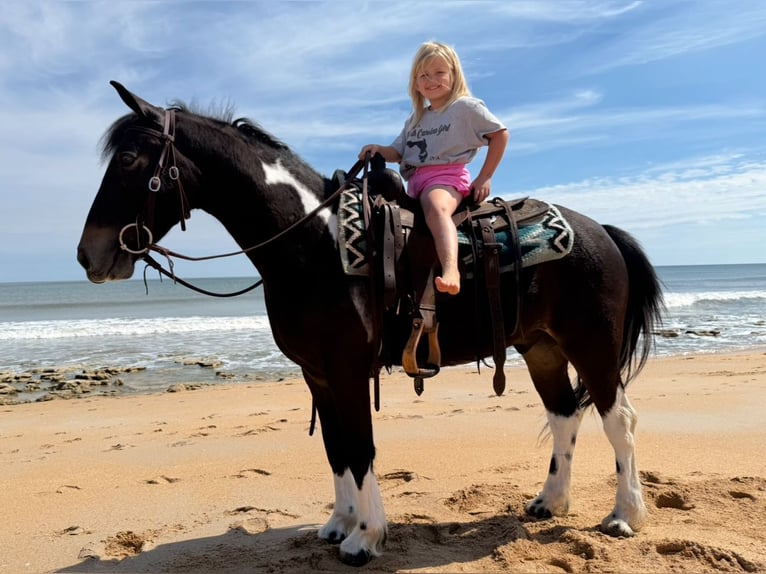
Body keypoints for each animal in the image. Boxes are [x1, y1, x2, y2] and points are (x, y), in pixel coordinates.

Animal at [79, 81, 664, 568]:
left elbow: (360, 447)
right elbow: (336, 447)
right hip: (541, 347)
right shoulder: (316, 375)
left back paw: (624, 515)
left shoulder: (346, 371)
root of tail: (601, 231)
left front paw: (366, 537)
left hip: (593, 345)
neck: (315, 242)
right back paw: (551, 501)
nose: (89, 255)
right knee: (564, 413)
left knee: (619, 420)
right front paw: (340, 523)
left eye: (128, 159)